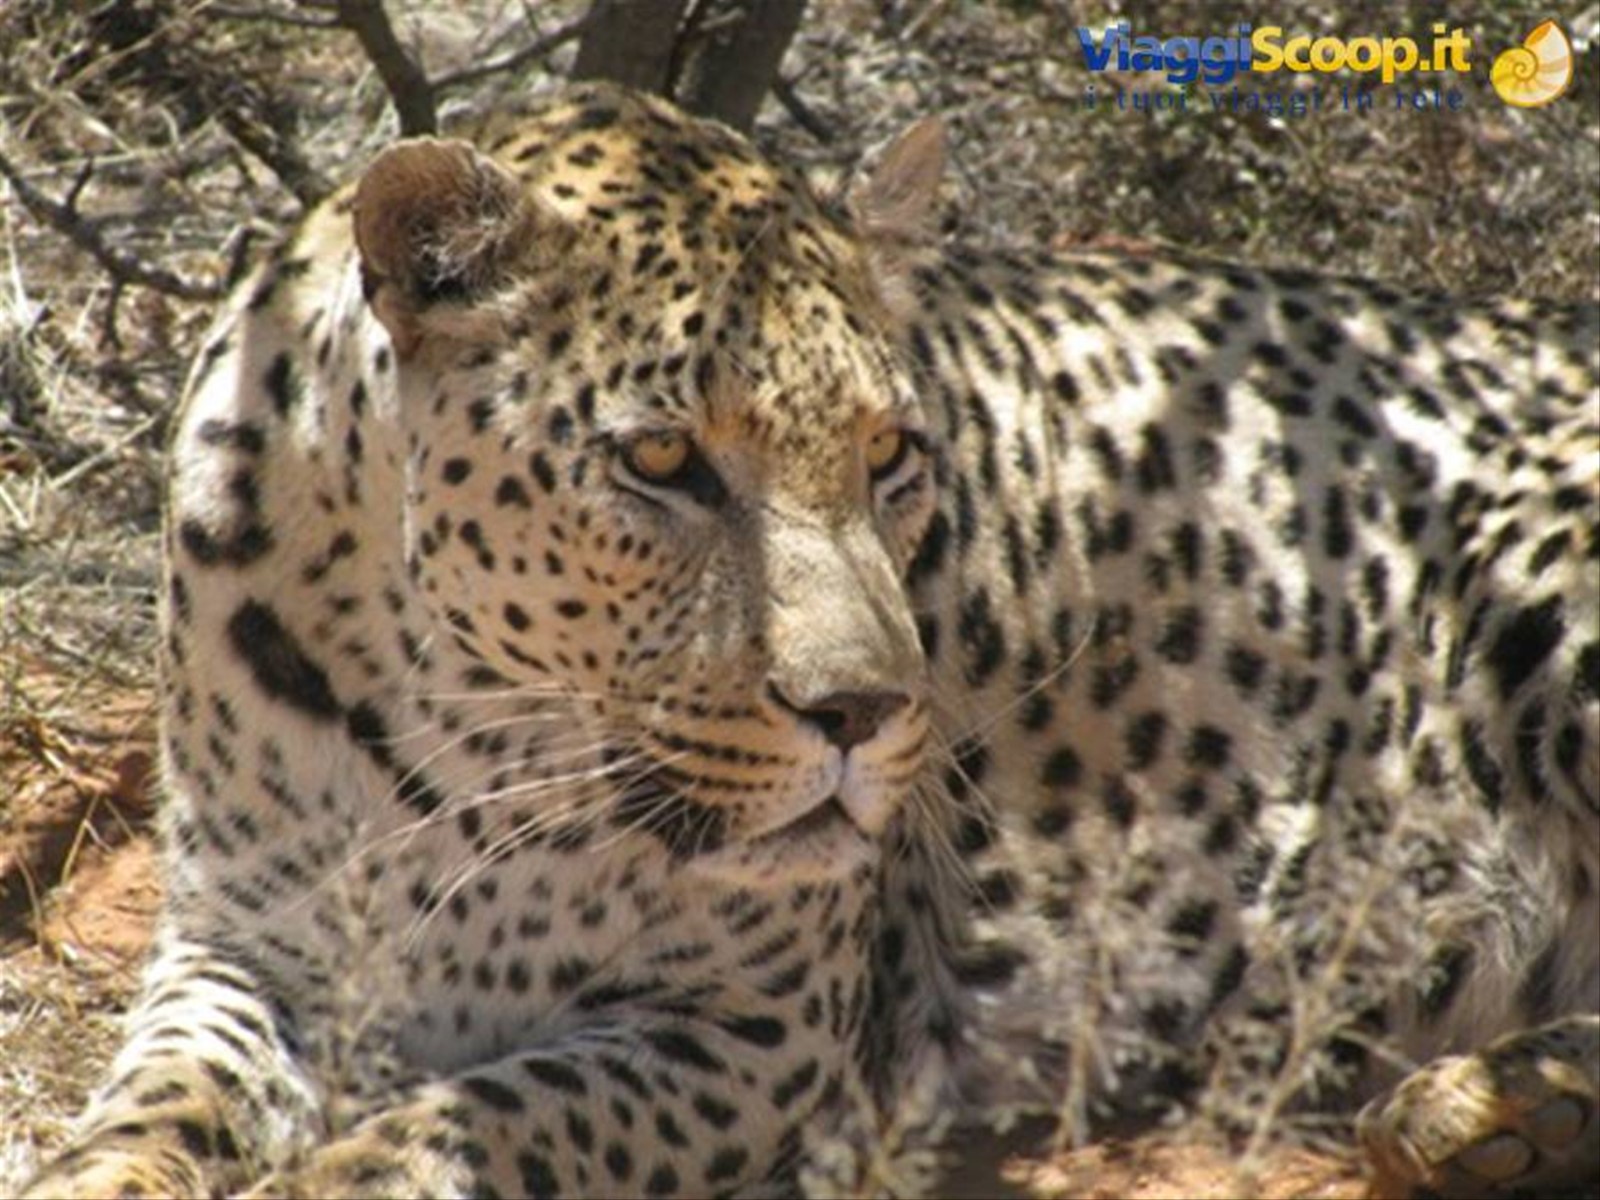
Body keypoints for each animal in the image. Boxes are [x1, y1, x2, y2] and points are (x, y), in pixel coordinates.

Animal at [21, 82, 1599, 1199]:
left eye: (892, 451)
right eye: (662, 460)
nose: (869, 715)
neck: (456, 737)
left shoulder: (751, 1031)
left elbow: (445, 1133)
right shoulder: (244, 954)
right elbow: (149, 1112)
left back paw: (1474, 1113)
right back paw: (1492, 1117)